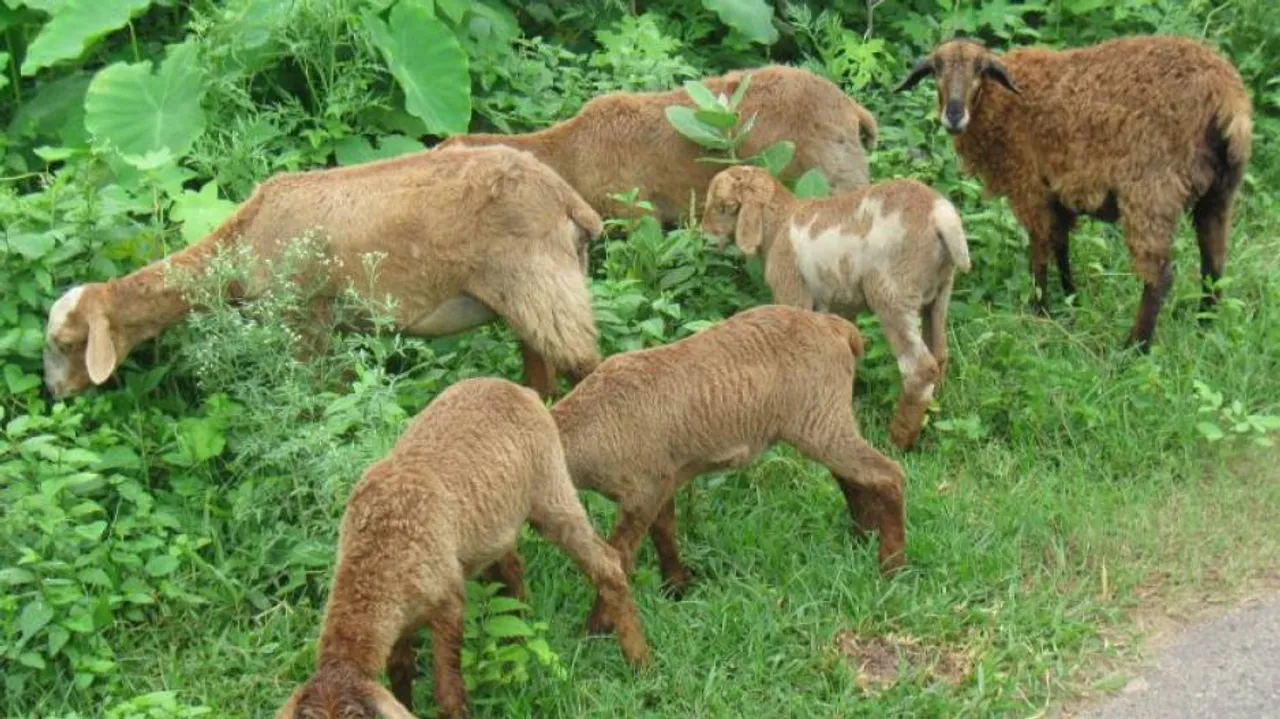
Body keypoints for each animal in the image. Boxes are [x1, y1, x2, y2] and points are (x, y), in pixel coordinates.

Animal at [43, 145, 604, 401]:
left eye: (67, 343)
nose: (55, 393)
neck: (241, 244)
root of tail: (567, 198)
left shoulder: (304, 323)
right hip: (531, 296)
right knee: (541, 377)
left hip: (543, 286)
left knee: (589, 365)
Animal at [275, 377, 650, 719]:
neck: (378, 552)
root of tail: (517, 388)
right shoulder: (396, 622)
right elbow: (400, 672)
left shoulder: (448, 605)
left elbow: (448, 693)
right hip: (497, 524)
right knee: (513, 571)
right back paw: (519, 639)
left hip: (552, 491)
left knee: (607, 563)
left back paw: (639, 660)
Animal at [549, 305, 907, 633]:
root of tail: (837, 328)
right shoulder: (661, 480)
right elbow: (664, 532)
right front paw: (677, 587)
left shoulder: (643, 490)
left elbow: (619, 556)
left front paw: (595, 627)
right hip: (824, 419)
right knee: (853, 478)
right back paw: (861, 538)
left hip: (821, 418)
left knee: (889, 475)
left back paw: (892, 567)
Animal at [700, 165, 971, 451]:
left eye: (724, 206)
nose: (704, 238)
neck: (780, 225)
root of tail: (940, 215)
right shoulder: (838, 308)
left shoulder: (792, 292)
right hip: (939, 293)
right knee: (939, 354)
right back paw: (933, 414)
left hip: (891, 293)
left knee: (918, 368)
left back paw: (898, 439)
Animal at [894, 36, 1253, 350]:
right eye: (936, 69)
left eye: (980, 70)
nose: (954, 115)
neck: (1001, 102)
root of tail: (1226, 97)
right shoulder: (1059, 195)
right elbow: (1061, 247)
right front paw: (1071, 300)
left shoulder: (1029, 188)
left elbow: (1039, 254)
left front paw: (1040, 311)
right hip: (1219, 193)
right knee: (1214, 265)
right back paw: (1205, 326)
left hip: (1151, 191)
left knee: (1160, 276)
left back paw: (1134, 348)